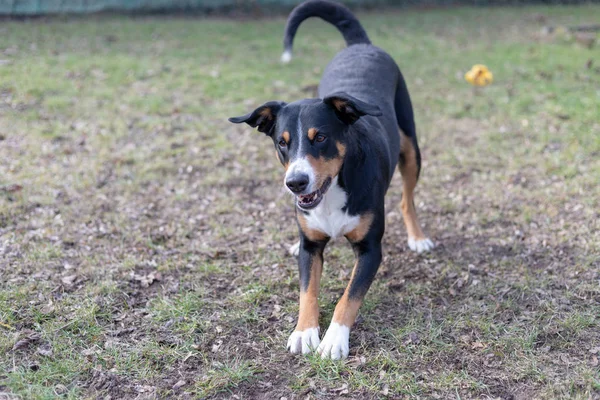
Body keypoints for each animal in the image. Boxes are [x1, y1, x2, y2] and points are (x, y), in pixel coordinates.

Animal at [227, 0, 434, 360]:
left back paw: (417, 237)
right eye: (282, 142)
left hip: (411, 149)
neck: (333, 190)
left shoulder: (370, 250)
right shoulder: (311, 248)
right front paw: (304, 331)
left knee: (407, 198)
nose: (295, 182)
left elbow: (348, 297)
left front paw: (335, 338)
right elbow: (307, 290)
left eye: (320, 137)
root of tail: (361, 46)